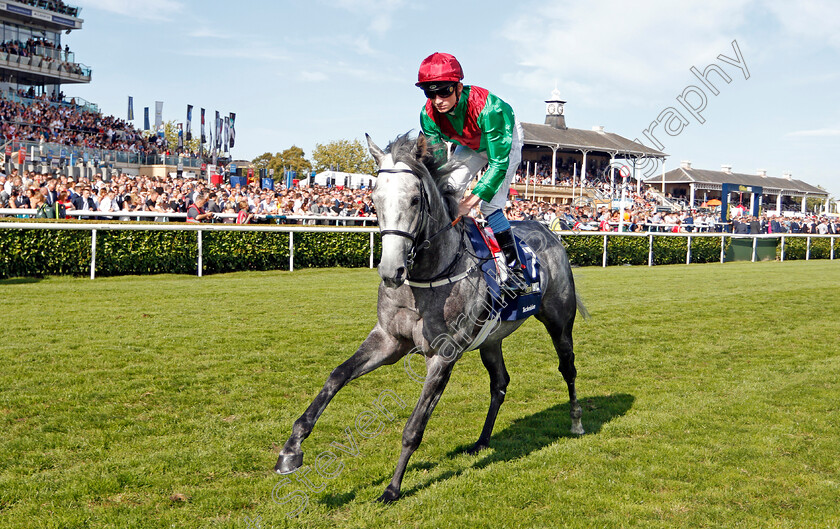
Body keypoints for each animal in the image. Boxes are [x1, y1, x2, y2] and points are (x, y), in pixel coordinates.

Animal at [272, 134, 588, 502]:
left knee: (568, 367)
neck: (428, 275)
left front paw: (392, 488)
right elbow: (336, 376)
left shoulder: (442, 355)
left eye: (413, 199)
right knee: (500, 383)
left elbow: (414, 426)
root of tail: (548, 232)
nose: (390, 271)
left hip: (559, 321)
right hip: (490, 339)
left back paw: (576, 421)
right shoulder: (388, 340)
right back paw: (482, 441)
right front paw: (290, 449)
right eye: (374, 199)